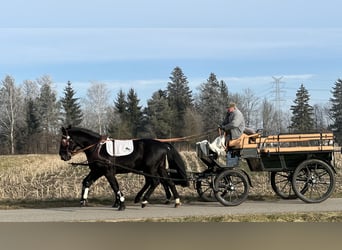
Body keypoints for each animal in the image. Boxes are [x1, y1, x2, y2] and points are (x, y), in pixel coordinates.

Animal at [57, 126, 188, 210]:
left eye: (63, 141)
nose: (63, 156)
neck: (97, 148)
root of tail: (163, 144)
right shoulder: (97, 171)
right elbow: (86, 181)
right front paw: (83, 200)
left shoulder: (108, 172)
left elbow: (115, 186)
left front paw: (121, 203)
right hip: (159, 168)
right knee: (169, 182)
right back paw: (176, 201)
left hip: (151, 169)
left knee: (155, 181)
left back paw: (144, 200)